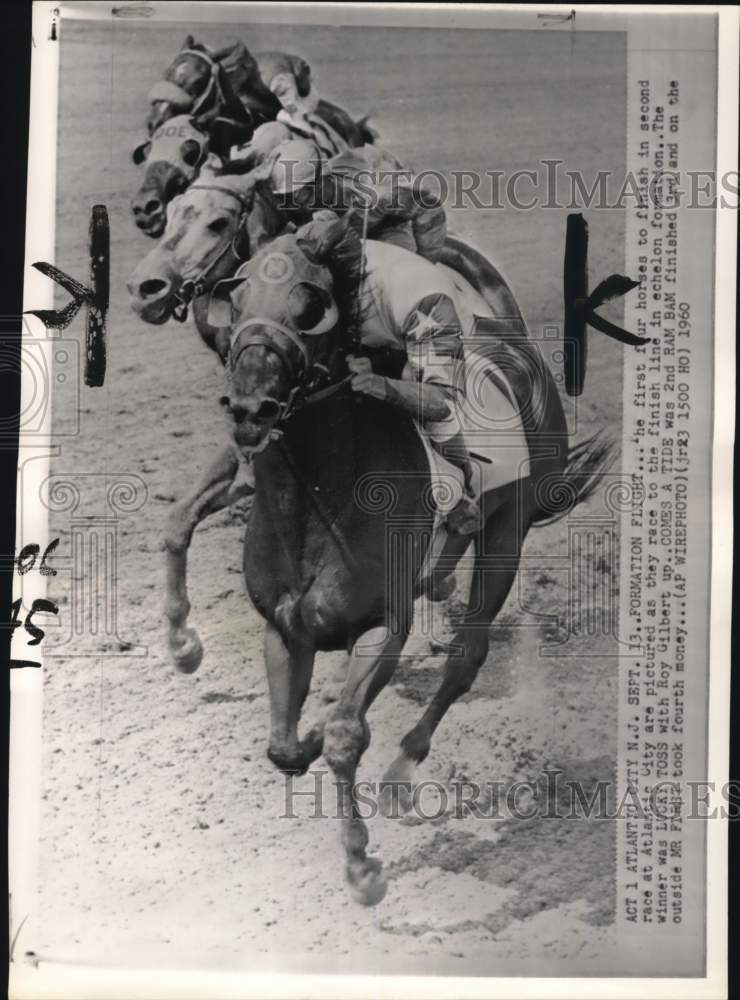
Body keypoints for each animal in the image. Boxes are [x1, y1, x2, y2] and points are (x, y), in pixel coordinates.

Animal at [166, 219, 612, 908]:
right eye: (233, 302)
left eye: (310, 306)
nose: (249, 408)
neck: (317, 501)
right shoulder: (285, 628)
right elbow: (283, 746)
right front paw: (304, 736)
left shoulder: (383, 628)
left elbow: (348, 734)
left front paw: (361, 865)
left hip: (508, 531)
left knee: (467, 657)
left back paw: (403, 771)